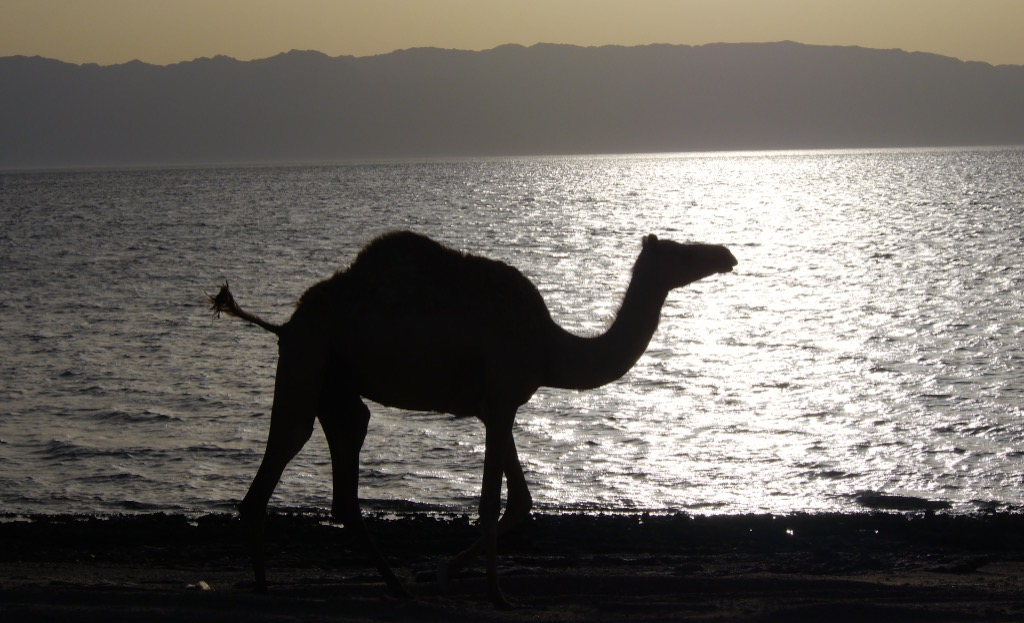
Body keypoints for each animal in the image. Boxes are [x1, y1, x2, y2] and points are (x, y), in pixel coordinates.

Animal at [210, 230, 736, 608]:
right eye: (682, 254)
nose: (726, 255)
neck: (551, 347)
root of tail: (285, 322)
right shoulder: (501, 402)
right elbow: (494, 502)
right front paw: (494, 593)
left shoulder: (496, 408)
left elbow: (518, 501)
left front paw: (443, 572)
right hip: (306, 357)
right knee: (284, 448)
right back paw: (266, 588)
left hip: (336, 387)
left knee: (345, 471)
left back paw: (397, 587)